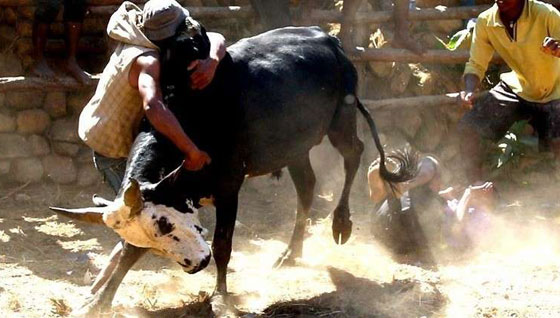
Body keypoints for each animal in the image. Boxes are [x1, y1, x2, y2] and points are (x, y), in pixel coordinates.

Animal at [57, 26, 414, 310]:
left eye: (166, 224)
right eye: (157, 232)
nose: (195, 264)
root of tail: (330, 39)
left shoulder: (229, 187)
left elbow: (222, 245)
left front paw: (220, 296)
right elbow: (128, 252)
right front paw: (100, 300)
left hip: (342, 119)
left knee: (355, 153)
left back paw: (341, 221)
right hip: (294, 147)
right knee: (307, 186)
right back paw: (290, 252)